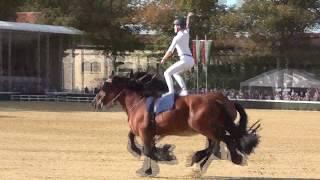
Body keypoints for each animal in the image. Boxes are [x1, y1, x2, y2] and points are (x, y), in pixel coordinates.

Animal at [92, 72, 260, 176]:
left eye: (104, 86)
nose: (95, 102)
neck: (139, 102)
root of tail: (219, 100)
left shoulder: (145, 133)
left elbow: (148, 150)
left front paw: (154, 164)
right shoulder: (143, 131)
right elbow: (132, 138)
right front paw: (158, 153)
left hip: (205, 127)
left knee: (223, 140)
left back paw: (222, 159)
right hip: (210, 129)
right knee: (217, 143)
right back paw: (200, 162)